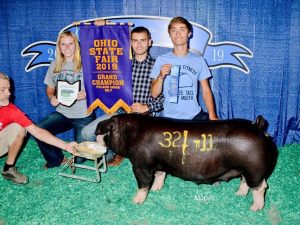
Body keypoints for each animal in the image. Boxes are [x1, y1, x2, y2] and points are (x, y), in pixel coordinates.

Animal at [95, 114, 278, 211]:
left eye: (103, 131)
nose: (97, 128)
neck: (130, 135)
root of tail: (258, 127)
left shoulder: (141, 164)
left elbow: (143, 183)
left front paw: (135, 201)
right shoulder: (160, 163)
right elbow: (160, 175)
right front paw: (156, 190)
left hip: (254, 168)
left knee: (261, 186)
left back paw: (254, 208)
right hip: (246, 169)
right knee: (246, 182)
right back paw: (238, 194)